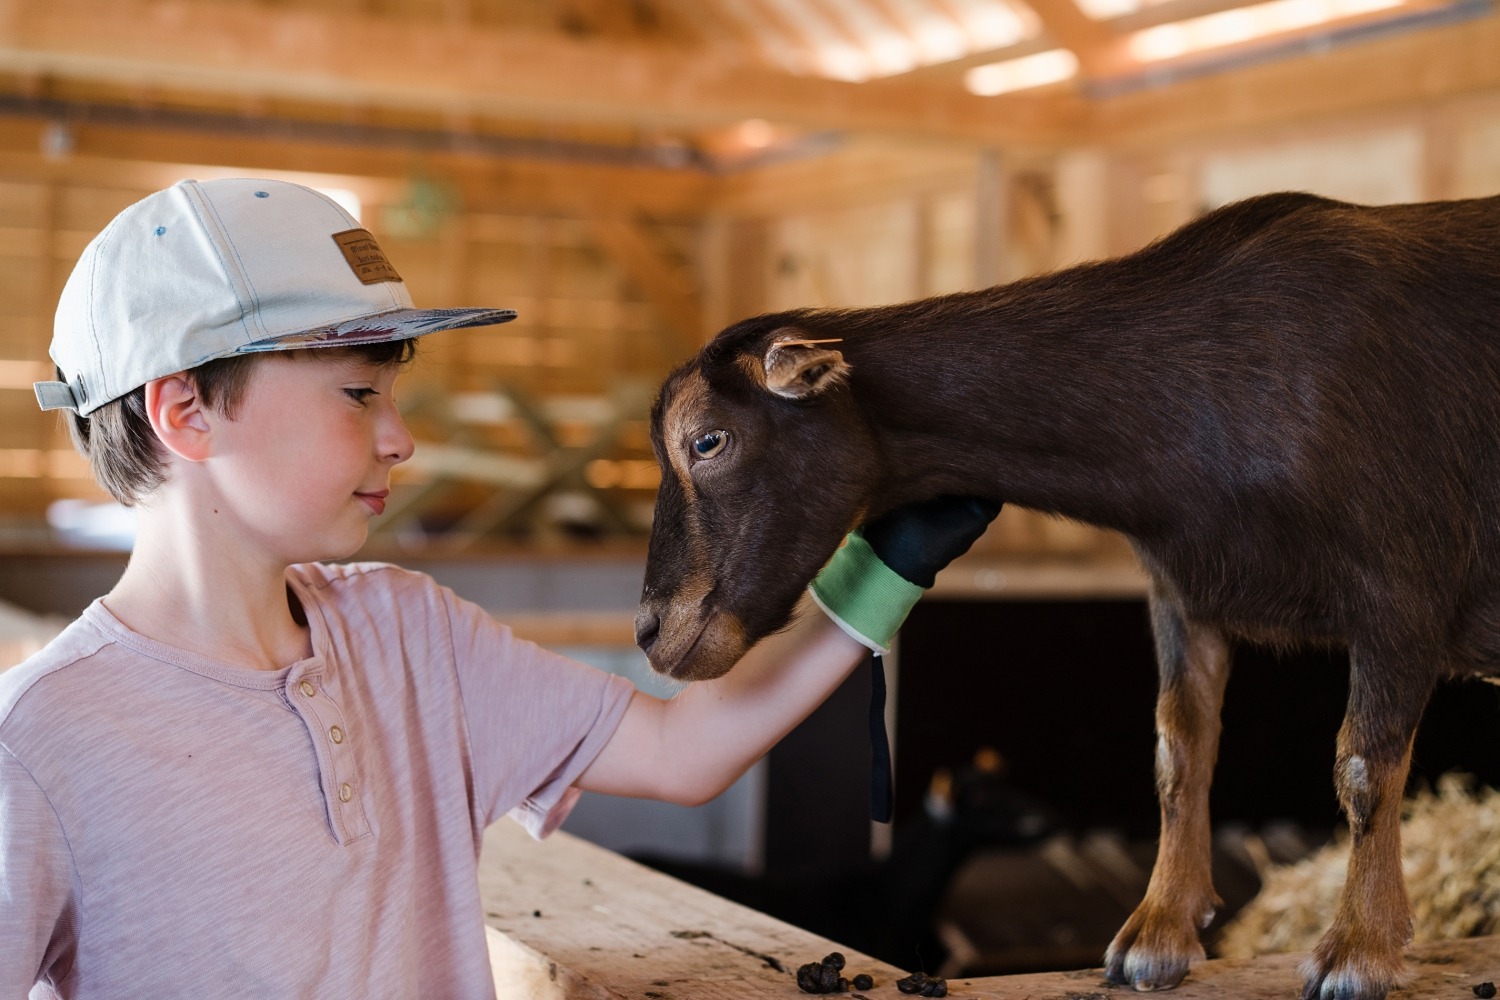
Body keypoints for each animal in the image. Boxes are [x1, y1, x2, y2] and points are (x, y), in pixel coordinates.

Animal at [633, 193, 1500, 1000]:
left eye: (706, 440)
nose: (648, 628)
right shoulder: (1183, 592)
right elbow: (1179, 749)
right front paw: (1158, 933)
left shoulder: (1402, 589)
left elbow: (1363, 767)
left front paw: (1358, 949)